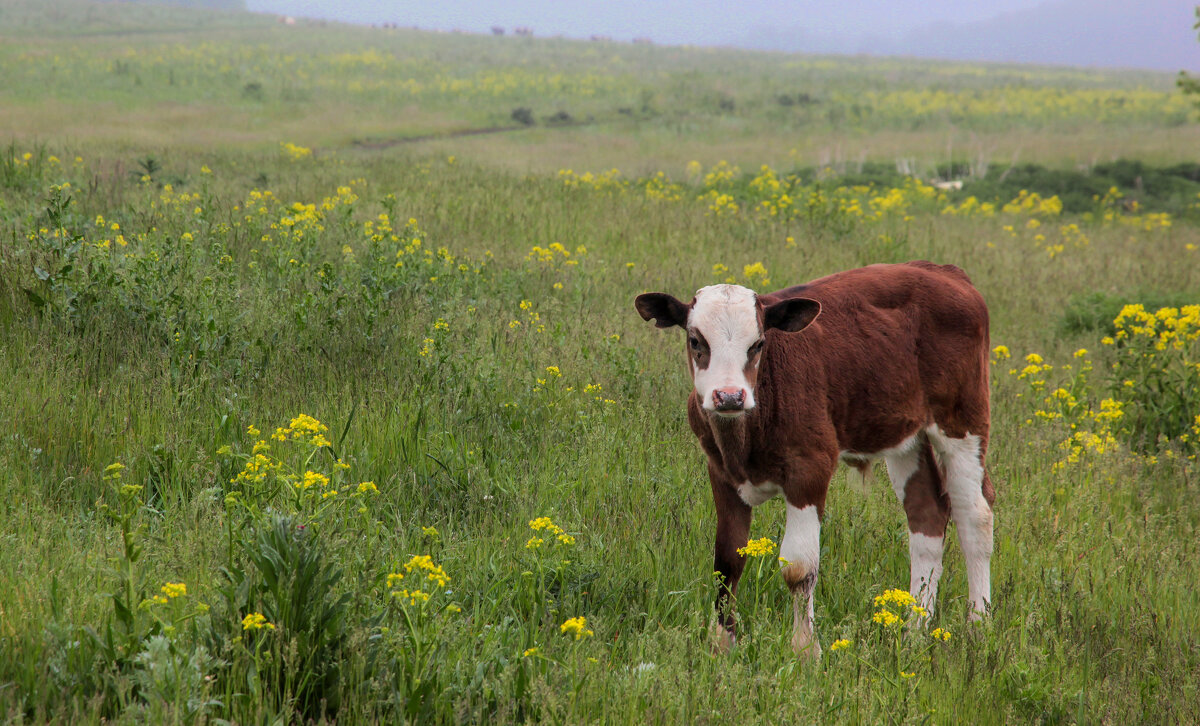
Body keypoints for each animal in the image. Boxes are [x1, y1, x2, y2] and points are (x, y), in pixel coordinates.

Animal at [638, 260, 993, 657]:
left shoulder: (810, 468)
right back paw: (914, 632)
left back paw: (979, 628)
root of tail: (943, 271)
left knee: (975, 518)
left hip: (963, 421)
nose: (729, 396)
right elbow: (728, 559)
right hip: (905, 435)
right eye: (696, 341)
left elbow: (799, 566)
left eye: (758, 344)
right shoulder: (721, 472)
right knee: (926, 513)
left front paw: (805, 649)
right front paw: (721, 644)